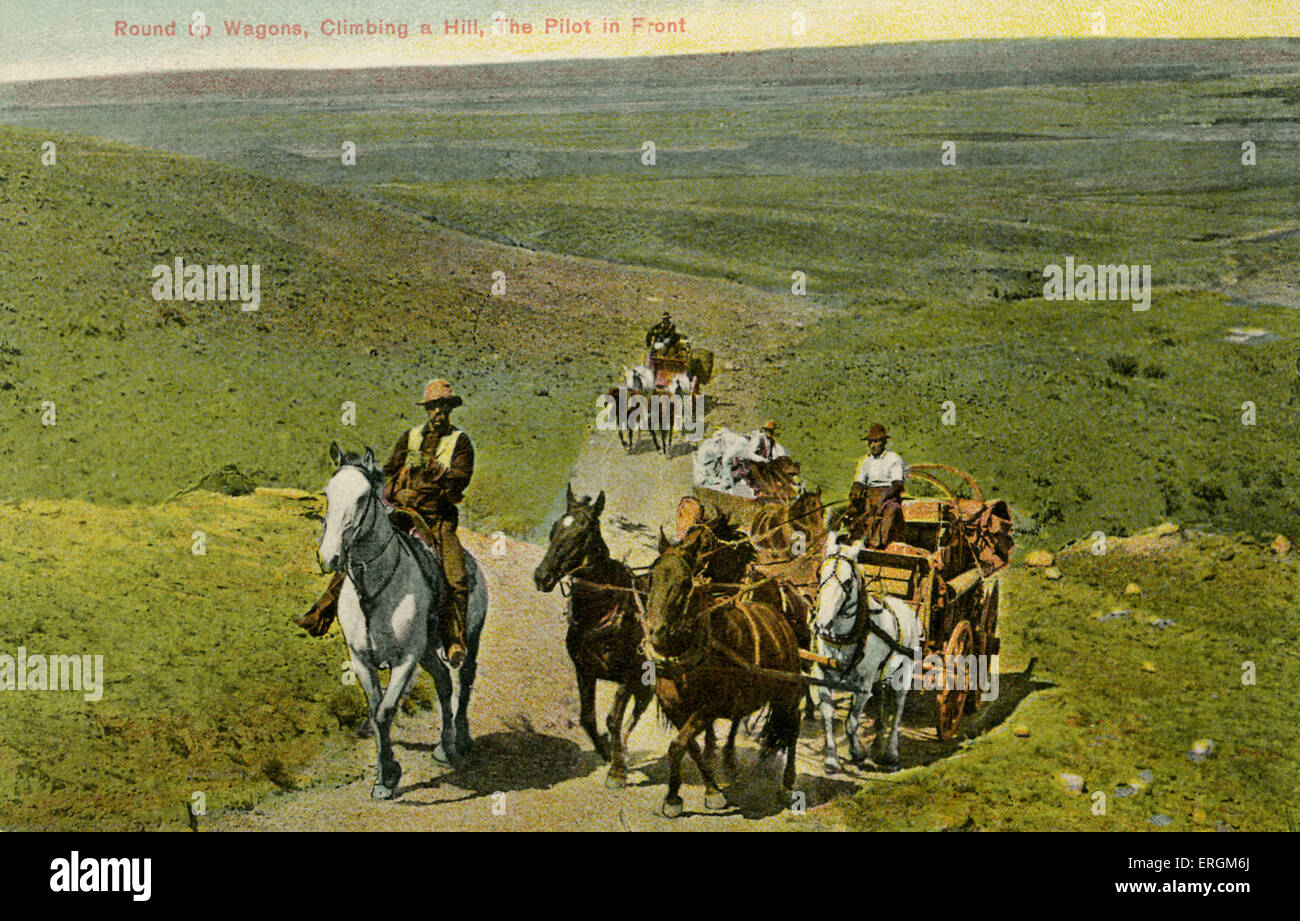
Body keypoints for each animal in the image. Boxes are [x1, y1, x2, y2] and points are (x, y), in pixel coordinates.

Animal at [533, 486, 650, 785]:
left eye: (581, 534)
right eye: (554, 529)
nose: (542, 577)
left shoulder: (630, 674)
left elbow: (614, 718)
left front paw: (617, 770)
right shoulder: (584, 669)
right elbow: (588, 718)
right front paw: (608, 753)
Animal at [639, 528, 800, 816]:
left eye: (685, 584)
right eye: (651, 578)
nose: (655, 633)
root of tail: (782, 622)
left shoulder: (706, 708)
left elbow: (677, 746)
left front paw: (673, 798)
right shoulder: (674, 708)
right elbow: (690, 747)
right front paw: (710, 790)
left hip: (788, 694)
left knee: (793, 729)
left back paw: (787, 785)